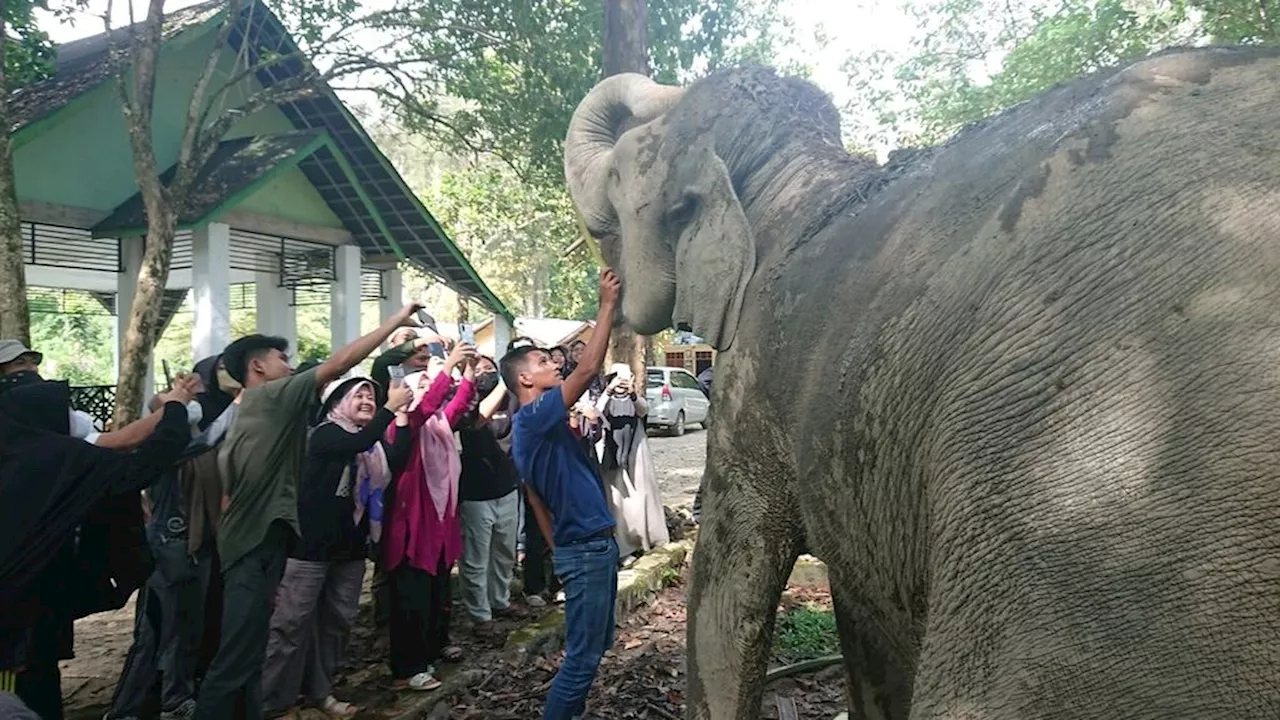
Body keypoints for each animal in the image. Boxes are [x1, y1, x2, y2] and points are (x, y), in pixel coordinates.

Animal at [565, 47, 1280, 712]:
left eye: (624, 169)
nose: (607, 285)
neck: (799, 179)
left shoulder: (754, 383)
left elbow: (727, 580)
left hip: (1089, 524)